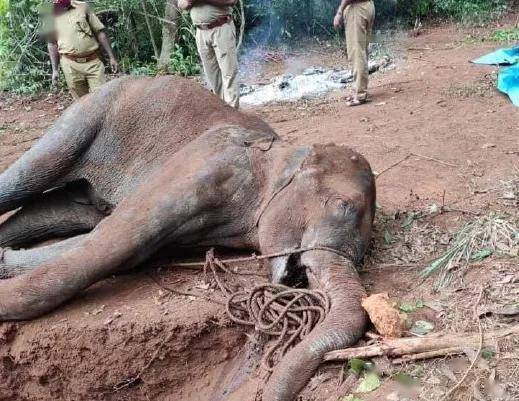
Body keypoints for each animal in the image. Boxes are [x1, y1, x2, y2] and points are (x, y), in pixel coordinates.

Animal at [0, 76, 376, 400]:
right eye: (341, 206)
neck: (284, 153)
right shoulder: (210, 161)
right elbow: (121, 237)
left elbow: (126, 246)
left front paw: (7, 262)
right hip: (92, 111)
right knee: (27, 178)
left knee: (63, 210)